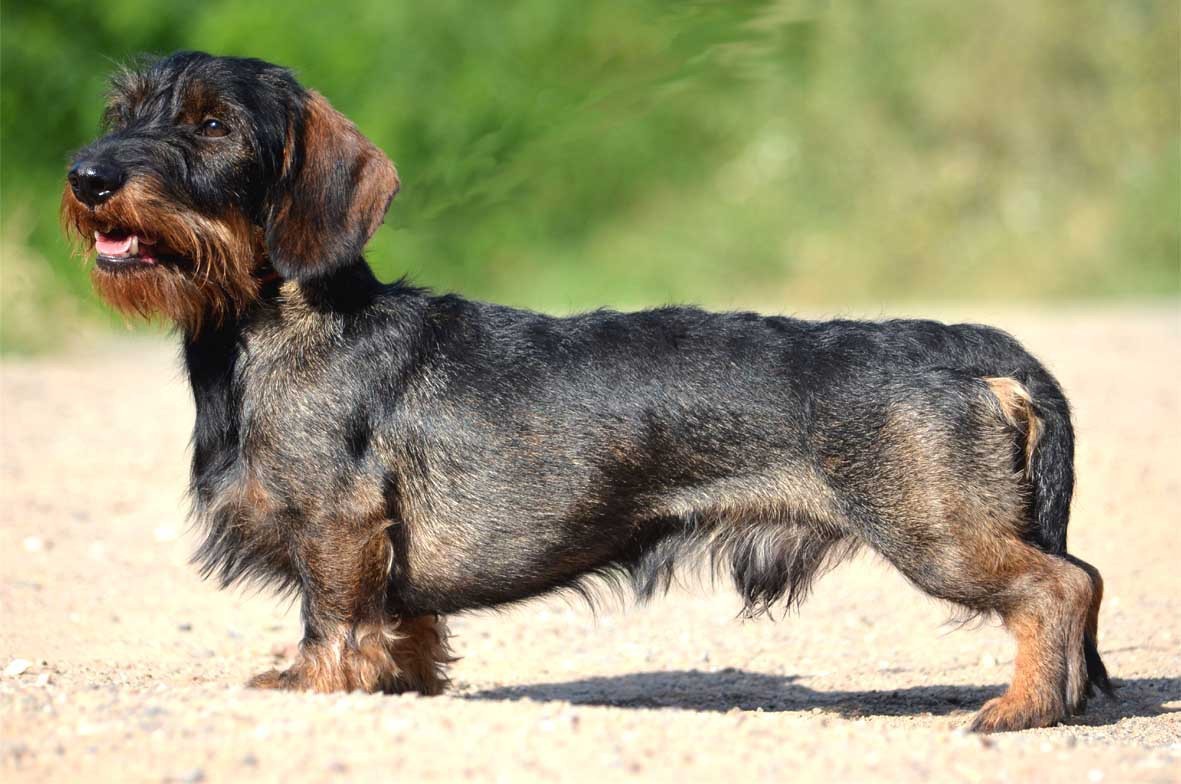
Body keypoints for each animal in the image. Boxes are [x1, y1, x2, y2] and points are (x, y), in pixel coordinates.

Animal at [62, 51, 1112, 732]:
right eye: (122, 113)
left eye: (211, 125)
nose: (87, 176)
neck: (274, 324)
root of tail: (970, 349)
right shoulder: (385, 553)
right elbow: (406, 627)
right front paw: (402, 682)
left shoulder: (339, 525)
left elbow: (333, 618)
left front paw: (319, 684)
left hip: (936, 535)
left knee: (1061, 584)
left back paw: (1021, 707)